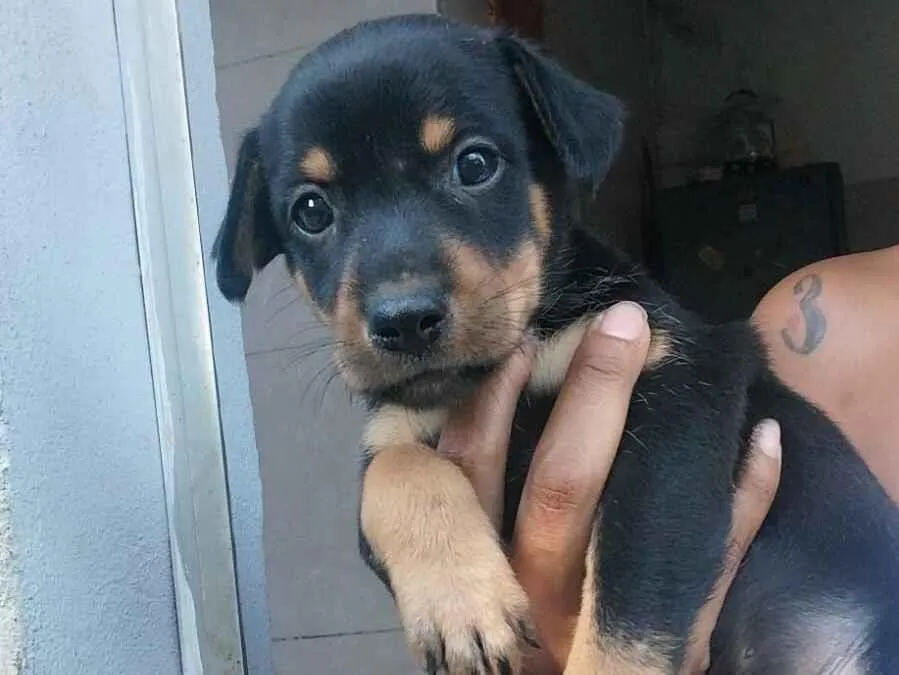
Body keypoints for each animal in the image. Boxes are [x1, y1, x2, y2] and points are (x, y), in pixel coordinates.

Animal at [213, 14, 899, 675]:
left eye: (475, 165)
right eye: (310, 211)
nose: (403, 320)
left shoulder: (681, 393)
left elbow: (632, 606)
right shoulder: (391, 434)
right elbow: (397, 472)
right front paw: (462, 607)